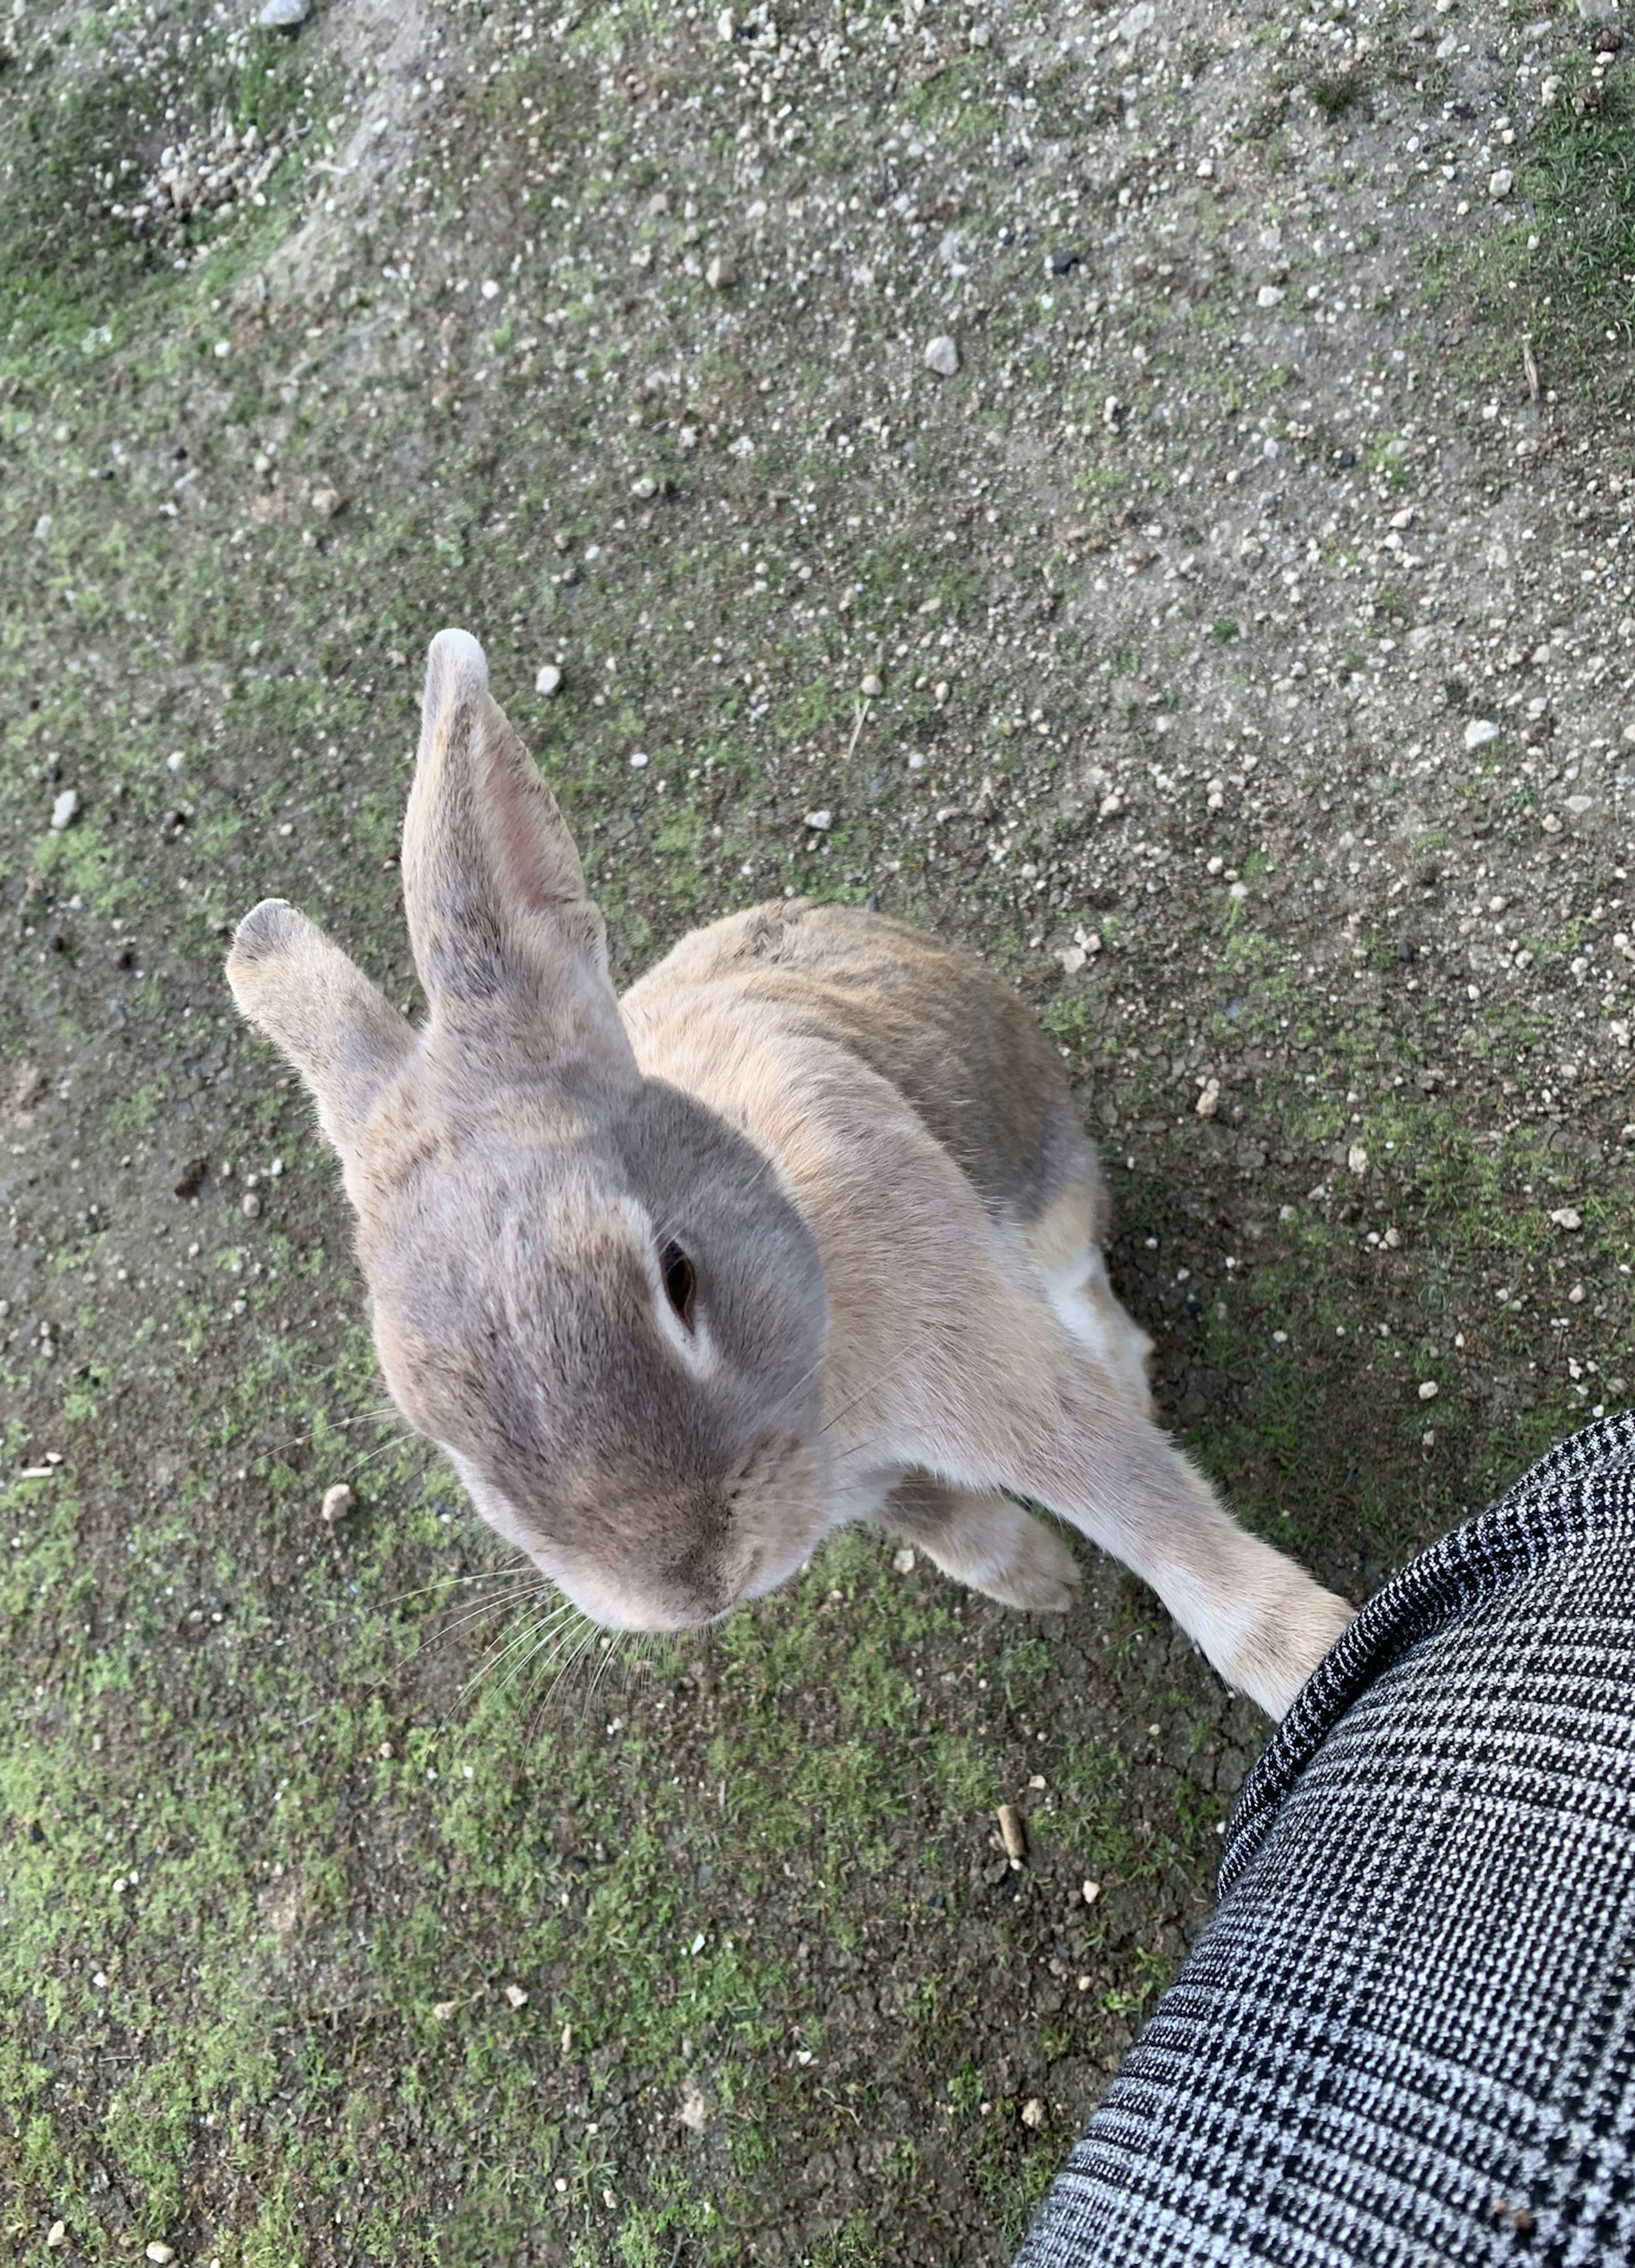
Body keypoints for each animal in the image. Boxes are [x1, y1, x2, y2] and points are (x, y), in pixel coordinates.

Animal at [229, 626, 1351, 1714]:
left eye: (677, 1274)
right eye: (439, 1429)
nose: (693, 1584)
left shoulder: (1009, 1383)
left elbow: (1165, 1532)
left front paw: (1312, 1656)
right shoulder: (871, 1484)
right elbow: (946, 1521)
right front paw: (1037, 1580)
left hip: (1047, 1179)